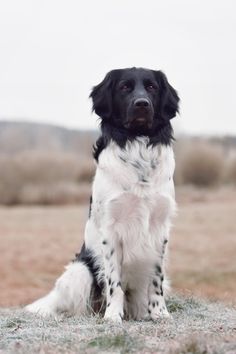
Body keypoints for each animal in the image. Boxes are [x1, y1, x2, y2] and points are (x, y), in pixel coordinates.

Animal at [25, 68, 180, 322]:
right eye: (125, 87)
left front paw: (160, 313)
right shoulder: (111, 229)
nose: (142, 104)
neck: (137, 145)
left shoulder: (160, 228)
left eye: (152, 87)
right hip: (80, 270)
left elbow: (156, 279)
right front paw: (113, 316)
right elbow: (114, 282)